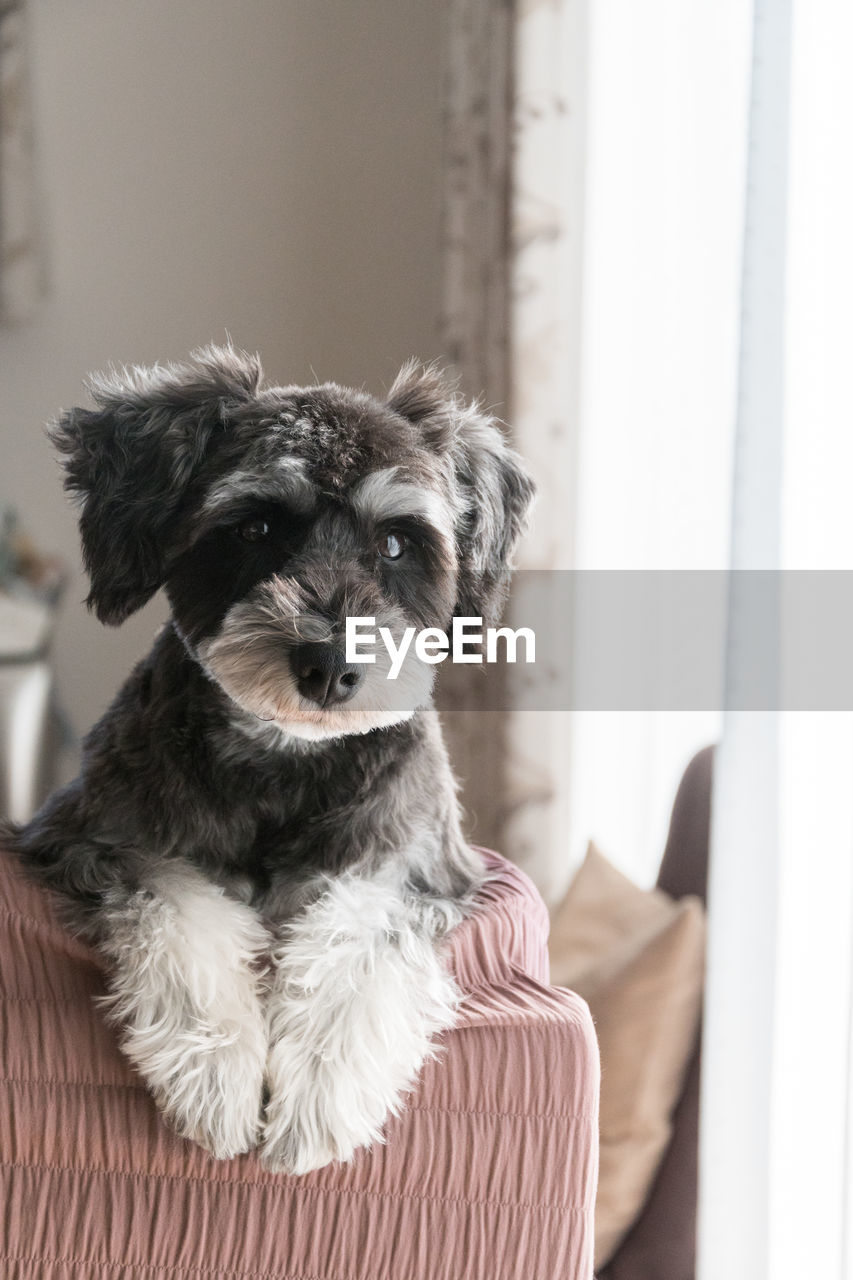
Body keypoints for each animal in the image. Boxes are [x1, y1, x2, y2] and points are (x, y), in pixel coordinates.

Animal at [6, 345, 535, 1172]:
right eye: (253, 526)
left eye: (396, 542)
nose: (328, 665)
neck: (286, 761)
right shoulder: (100, 839)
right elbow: (182, 906)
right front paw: (215, 1074)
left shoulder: (413, 869)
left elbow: (359, 940)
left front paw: (318, 1095)